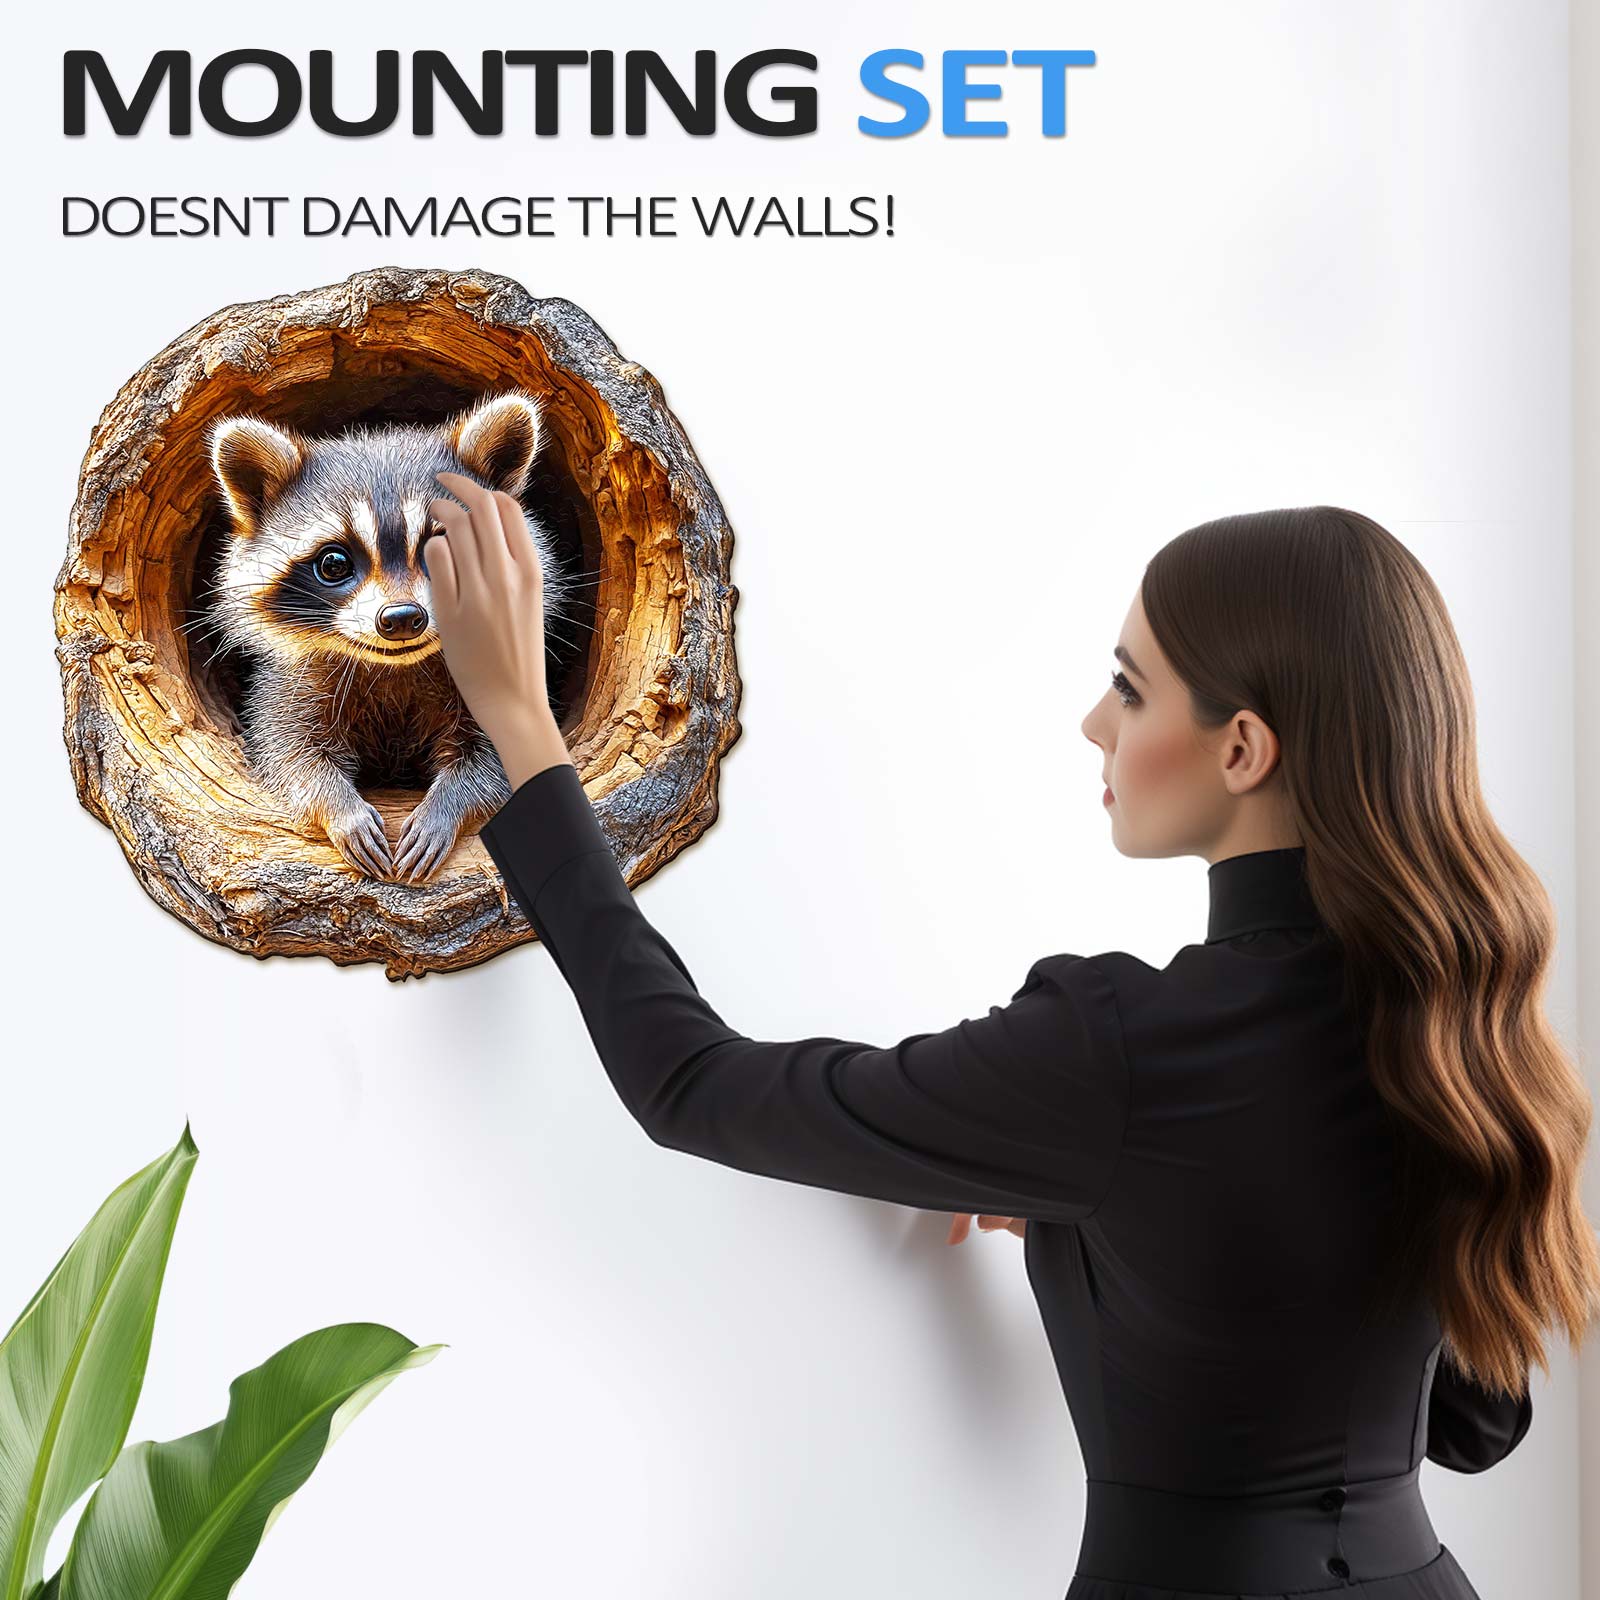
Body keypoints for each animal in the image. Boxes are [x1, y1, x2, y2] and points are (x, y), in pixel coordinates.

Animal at [201, 389, 573, 883]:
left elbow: (496, 755)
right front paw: (340, 808)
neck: (393, 666)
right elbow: (290, 752)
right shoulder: (290, 685)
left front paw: (446, 807)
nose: (401, 618)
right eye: (334, 563)